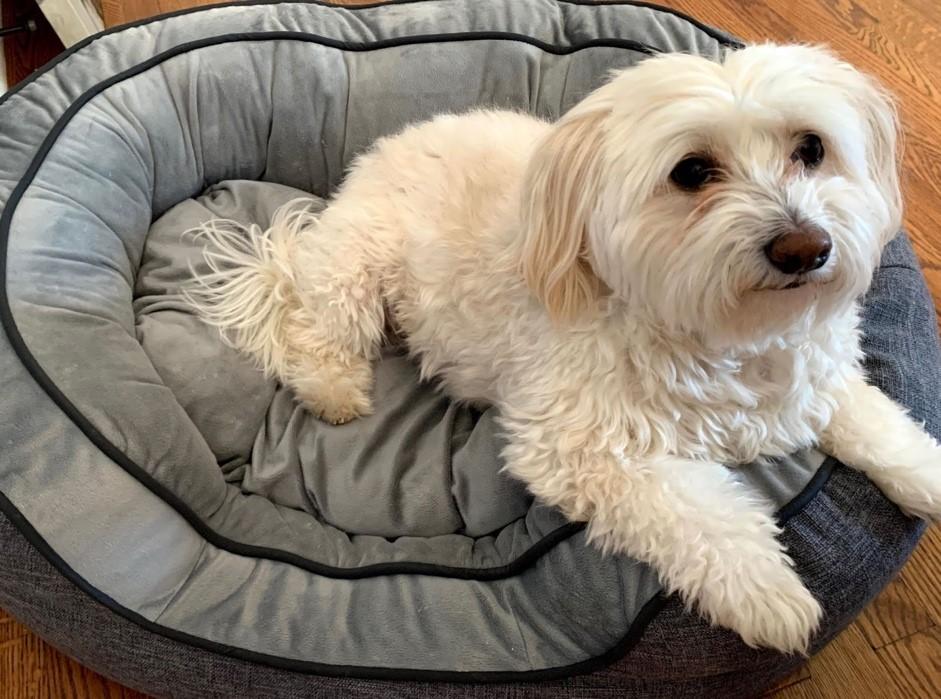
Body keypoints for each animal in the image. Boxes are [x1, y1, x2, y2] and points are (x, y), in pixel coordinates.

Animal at [191, 45, 940, 656]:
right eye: (692, 171)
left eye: (810, 148)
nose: (804, 247)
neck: (722, 332)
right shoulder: (582, 450)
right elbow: (701, 516)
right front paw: (765, 590)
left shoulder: (812, 381)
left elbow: (878, 423)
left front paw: (925, 471)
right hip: (356, 263)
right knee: (315, 327)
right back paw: (335, 388)